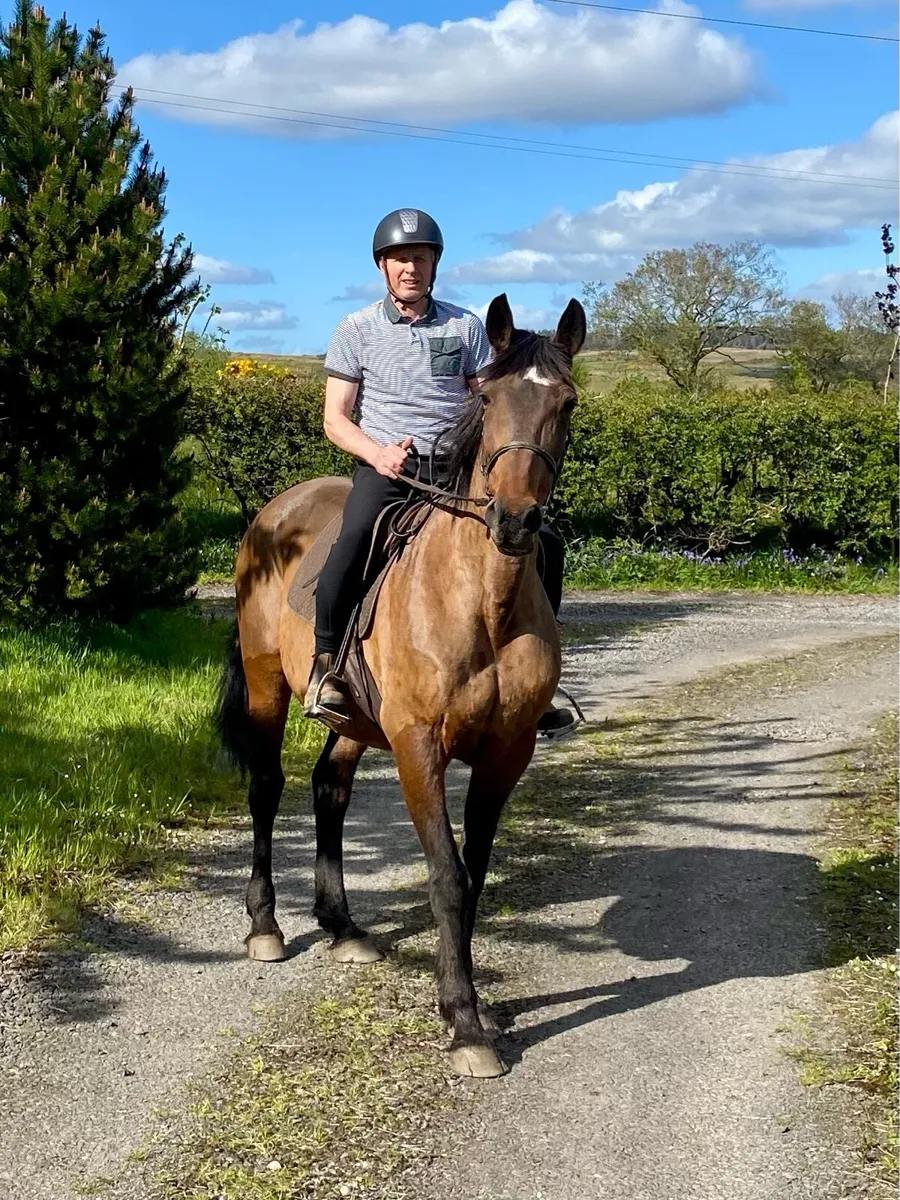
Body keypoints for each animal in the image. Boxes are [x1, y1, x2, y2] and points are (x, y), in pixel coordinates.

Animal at [216, 293, 586, 1078]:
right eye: (489, 397)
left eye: (566, 403)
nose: (515, 521)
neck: (480, 601)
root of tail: (276, 510)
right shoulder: (420, 746)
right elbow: (446, 874)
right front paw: (464, 1023)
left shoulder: (507, 753)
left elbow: (475, 871)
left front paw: (472, 1005)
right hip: (268, 686)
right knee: (266, 787)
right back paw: (265, 926)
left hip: (357, 720)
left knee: (329, 786)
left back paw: (341, 925)